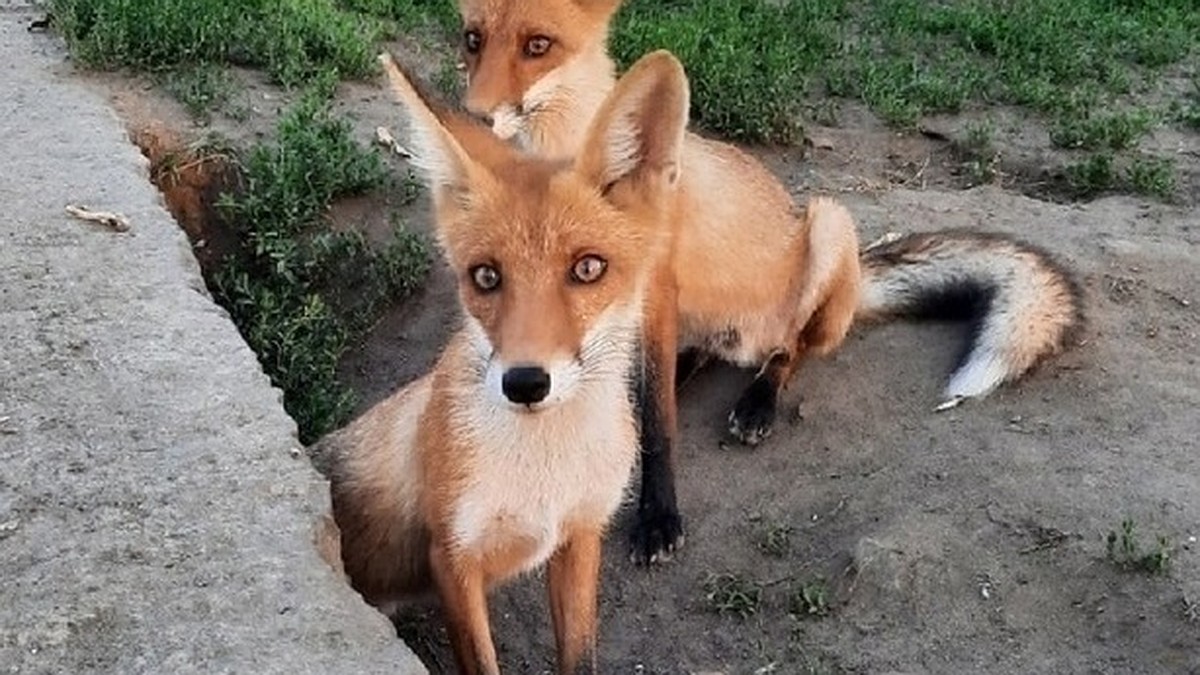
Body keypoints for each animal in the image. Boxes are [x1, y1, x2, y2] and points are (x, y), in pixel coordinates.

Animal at [312, 48, 696, 672]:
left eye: (588, 268)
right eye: (486, 277)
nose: (525, 382)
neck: (546, 475)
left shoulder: (579, 537)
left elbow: (580, 656)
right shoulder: (453, 559)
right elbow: (481, 660)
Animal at [451, 0, 1089, 562]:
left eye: (539, 46)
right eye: (473, 40)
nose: (474, 117)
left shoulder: (648, 293)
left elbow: (658, 426)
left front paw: (658, 517)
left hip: (829, 224)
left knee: (790, 348)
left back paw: (759, 402)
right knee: (701, 358)